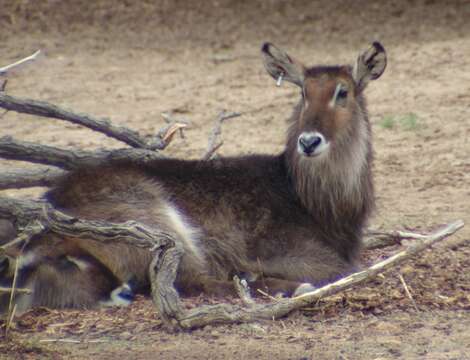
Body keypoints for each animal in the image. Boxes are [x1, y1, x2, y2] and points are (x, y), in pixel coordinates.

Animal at [0, 41, 386, 312]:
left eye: (343, 92)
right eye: (304, 92)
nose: (308, 141)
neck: (315, 202)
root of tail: (48, 208)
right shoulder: (295, 252)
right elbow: (342, 267)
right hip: (160, 226)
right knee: (194, 282)